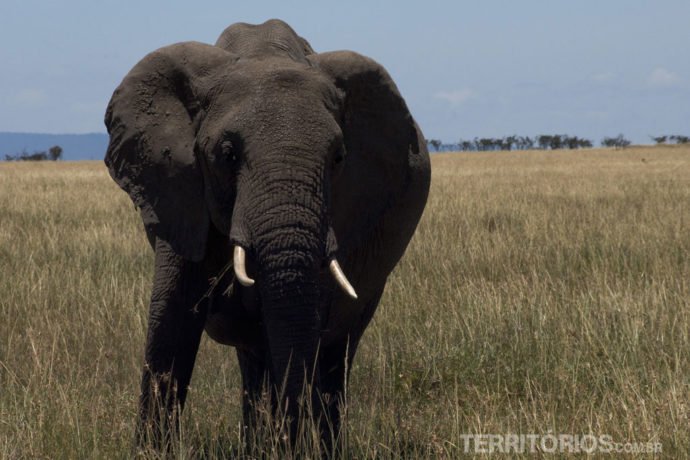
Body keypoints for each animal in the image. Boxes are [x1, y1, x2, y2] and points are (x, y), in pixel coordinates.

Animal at [104, 19, 430, 451]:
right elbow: (171, 320)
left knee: (332, 356)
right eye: (227, 155)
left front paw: (285, 445)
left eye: (338, 158)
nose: (291, 443)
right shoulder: (179, 188)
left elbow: (295, 329)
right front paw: (151, 453)